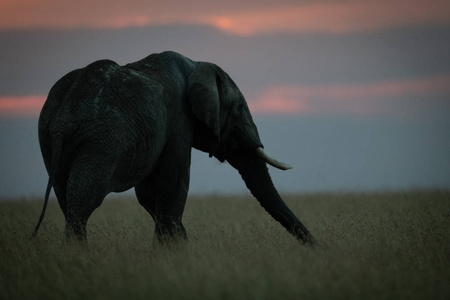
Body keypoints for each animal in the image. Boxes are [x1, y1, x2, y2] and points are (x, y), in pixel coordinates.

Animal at [33, 49, 314, 246]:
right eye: (240, 108)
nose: (317, 248)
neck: (196, 64)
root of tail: (63, 119)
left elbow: (149, 194)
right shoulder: (179, 120)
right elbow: (173, 185)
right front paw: (172, 253)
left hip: (49, 139)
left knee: (65, 196)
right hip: (100, 141)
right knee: (82, 198)